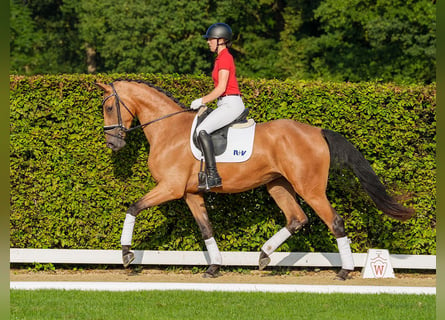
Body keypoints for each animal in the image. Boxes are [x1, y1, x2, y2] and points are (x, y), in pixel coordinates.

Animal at [96, 79, 412, 280]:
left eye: (109, 107)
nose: (113, 144)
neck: (168, 129)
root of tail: (317, 131)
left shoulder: (170, 188)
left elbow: (133, 208)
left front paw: (126, 255)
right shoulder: (190, 194)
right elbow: (206, 229)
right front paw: (214, 267)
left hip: (309, 188)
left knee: (334, 221)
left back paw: (345, 271)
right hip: (277, 185)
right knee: (297, 218)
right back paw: (263, 255)